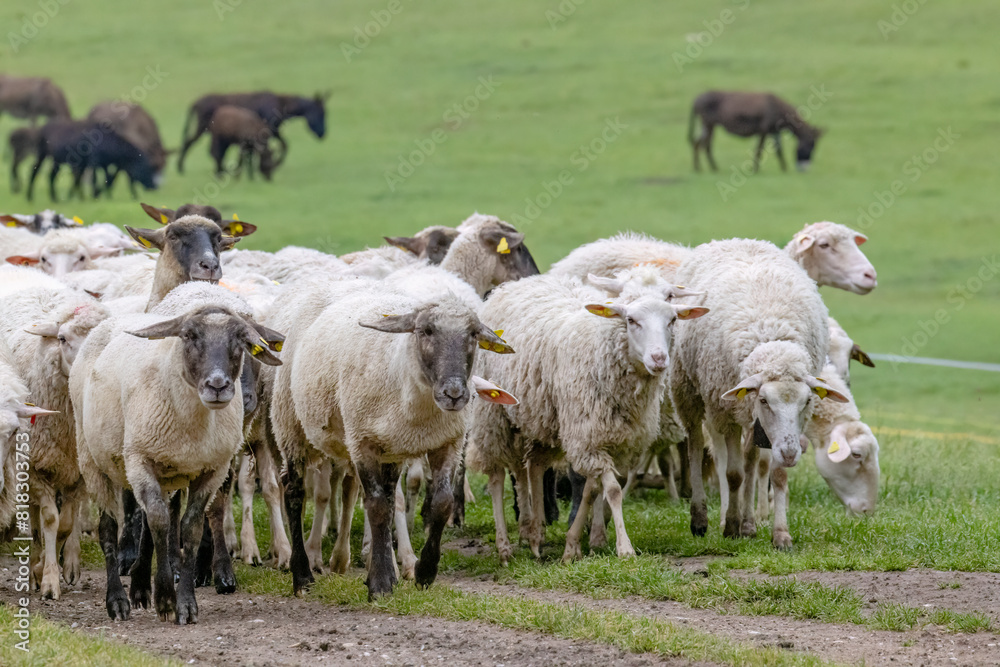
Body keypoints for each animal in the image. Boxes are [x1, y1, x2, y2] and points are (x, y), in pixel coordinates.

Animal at [0, 285, 110, 599]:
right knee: (35, 516)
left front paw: (49, 568)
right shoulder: (34, 466)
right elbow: (50, 519)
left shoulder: (81, 471)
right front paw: (46, 578)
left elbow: (66, 524)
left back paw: (69, 562)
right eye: (62, 339)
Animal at [70, 299, 283, 623]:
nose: (218, 385)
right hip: (93, 459)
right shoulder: (140, 459)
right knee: (108, 527)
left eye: (241, 341)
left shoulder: (211, 470)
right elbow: (159, 521)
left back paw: (140, 587)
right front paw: (166, 599)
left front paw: (185, 604)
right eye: (189, 336)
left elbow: (189, 527)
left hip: (163, 472)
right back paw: (117, 600)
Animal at [270, 276, 514, 599]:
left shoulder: (448, 442)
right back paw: (302, 576)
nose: (454, 393)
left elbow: (441, 503)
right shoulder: (361, 442)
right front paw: (381, 584)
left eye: (473, 334)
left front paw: (423, 572)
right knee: (294, 492)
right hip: (289, 422)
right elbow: (375, 506)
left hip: (391, 450)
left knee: (387, 497)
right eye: (425, 331)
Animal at [467, 270, 707, 564]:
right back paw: (505, 546)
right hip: (493, 416)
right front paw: (623, 548)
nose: (659, 358)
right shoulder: (586, 437)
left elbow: (593, 490)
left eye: (672, 318)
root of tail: (522, 281)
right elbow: (612, 490)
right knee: (497, 477)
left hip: (541, 419)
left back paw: (535, 534)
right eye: (631, 320)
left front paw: (581, 543)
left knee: (533, 467)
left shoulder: (611, 441)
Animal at [670, 239, 849, 549]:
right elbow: (732, 474)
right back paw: (702, 518)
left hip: (748, 417)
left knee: (751, 460)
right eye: (765, 400)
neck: (770, 333)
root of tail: (733, 240)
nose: (790, 453)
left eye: (807, 401)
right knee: (695, 446)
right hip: (689, 391)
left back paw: (749, 523)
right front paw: (730, 525)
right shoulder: (726, 412)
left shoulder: (777, 430)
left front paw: (780, 534)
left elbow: (775, 475)